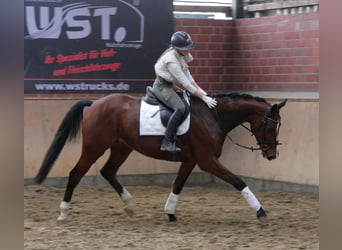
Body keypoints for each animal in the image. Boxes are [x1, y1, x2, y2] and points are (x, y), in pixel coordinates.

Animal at [34, 92, 286, 225]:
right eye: (271, 126)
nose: (272, 155)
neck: (212, 117)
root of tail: (95, 102)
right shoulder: (207, 161)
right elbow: (238, 181)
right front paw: (260, 212)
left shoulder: (191, 161)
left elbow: (177, 185)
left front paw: (170, 212)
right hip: (94, 147)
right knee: (76, 174)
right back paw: (63, 212)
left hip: (121, 147)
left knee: (108, 171)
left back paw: (129, 205)